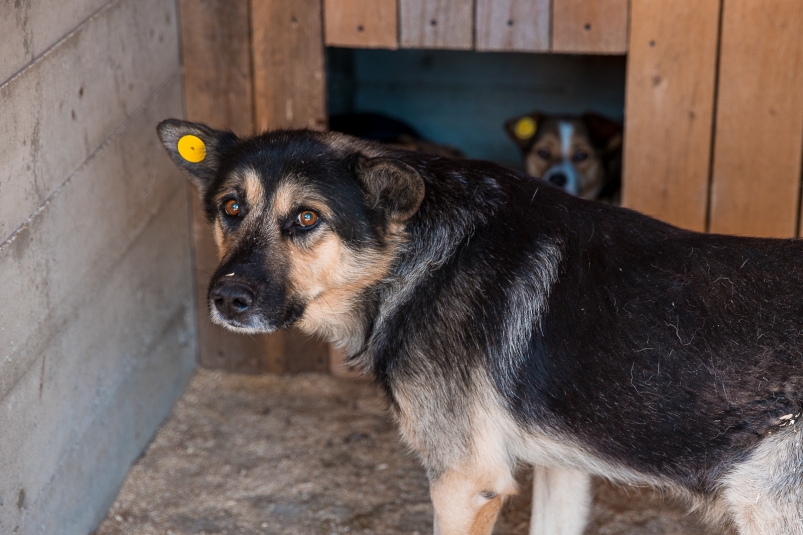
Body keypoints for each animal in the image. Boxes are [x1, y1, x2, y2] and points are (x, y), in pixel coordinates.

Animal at [157, 119, 803, 532]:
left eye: (307, 219)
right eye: (231, 208)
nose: (227, 299)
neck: (417, 256)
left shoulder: (465, 485)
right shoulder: (562, 467)